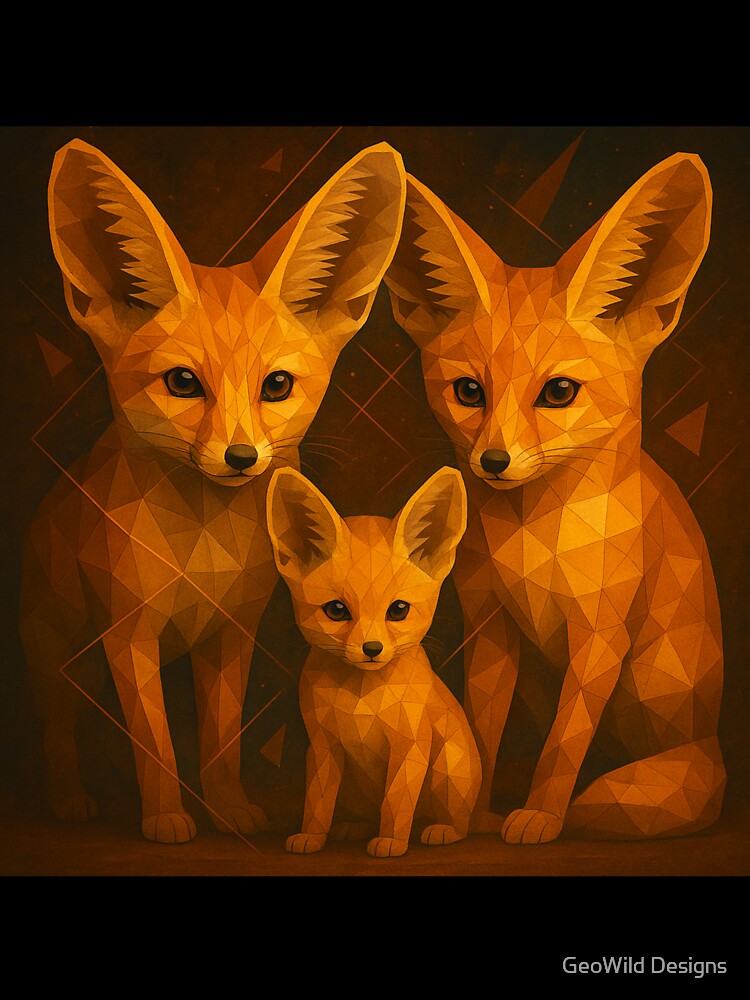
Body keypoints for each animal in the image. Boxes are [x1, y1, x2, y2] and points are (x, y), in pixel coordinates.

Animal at [20, 138, 406, 843]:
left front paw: (227, 810)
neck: (202, 552)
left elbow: (222, 738)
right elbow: (156, 742)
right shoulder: (129, 635)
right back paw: (67, 798)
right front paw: (166, 818)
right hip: (55, 644)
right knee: (57, 721)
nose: (241, 457)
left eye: (276, 385)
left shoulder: (232, 632)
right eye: (181, 382)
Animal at [265, 466, 481, 858]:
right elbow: (316, 802)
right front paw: (311, 837)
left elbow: (396, 801)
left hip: (448, 769)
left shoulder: (411, 746)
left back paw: (440, 829)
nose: (372, 648)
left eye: (398, 610)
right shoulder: (323, 747)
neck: (362, 699)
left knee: (458, 822)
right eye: (337, 610)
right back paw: (353, 828)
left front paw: (392, 841)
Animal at [384, 152, 726, 843]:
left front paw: (540, 813)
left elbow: (564, 743)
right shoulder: (491, 623)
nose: (493, 462)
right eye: (468, 391)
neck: (531, 541)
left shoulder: (600, 636)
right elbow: (482, 730)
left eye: (559, 392)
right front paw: (469, 817)